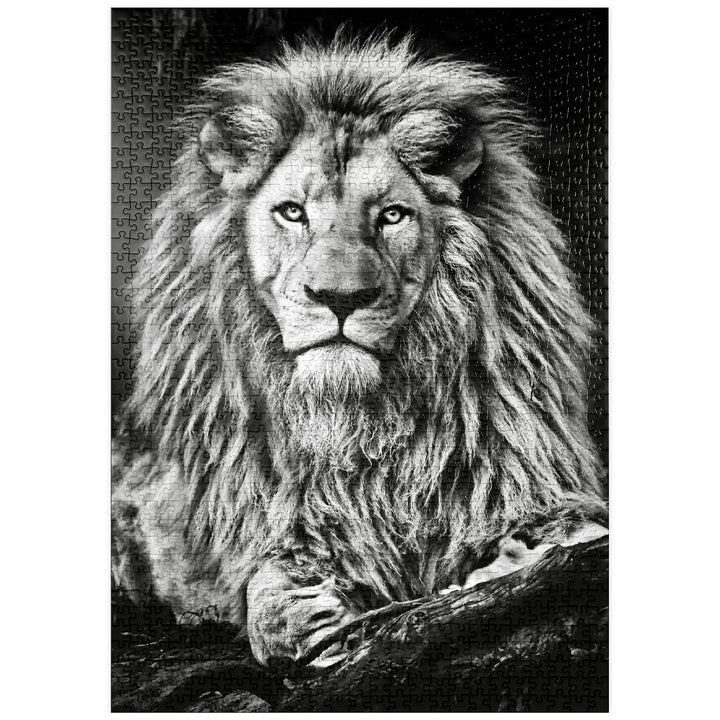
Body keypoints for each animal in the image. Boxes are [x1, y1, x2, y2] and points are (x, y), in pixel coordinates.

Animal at [112, 34, 608, 668]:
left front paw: (506, 561)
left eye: (392, 215)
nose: (340, 297)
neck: (359, 424)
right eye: (293, 212)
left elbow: (573, 533)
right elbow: (264, 593)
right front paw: (309, 613)